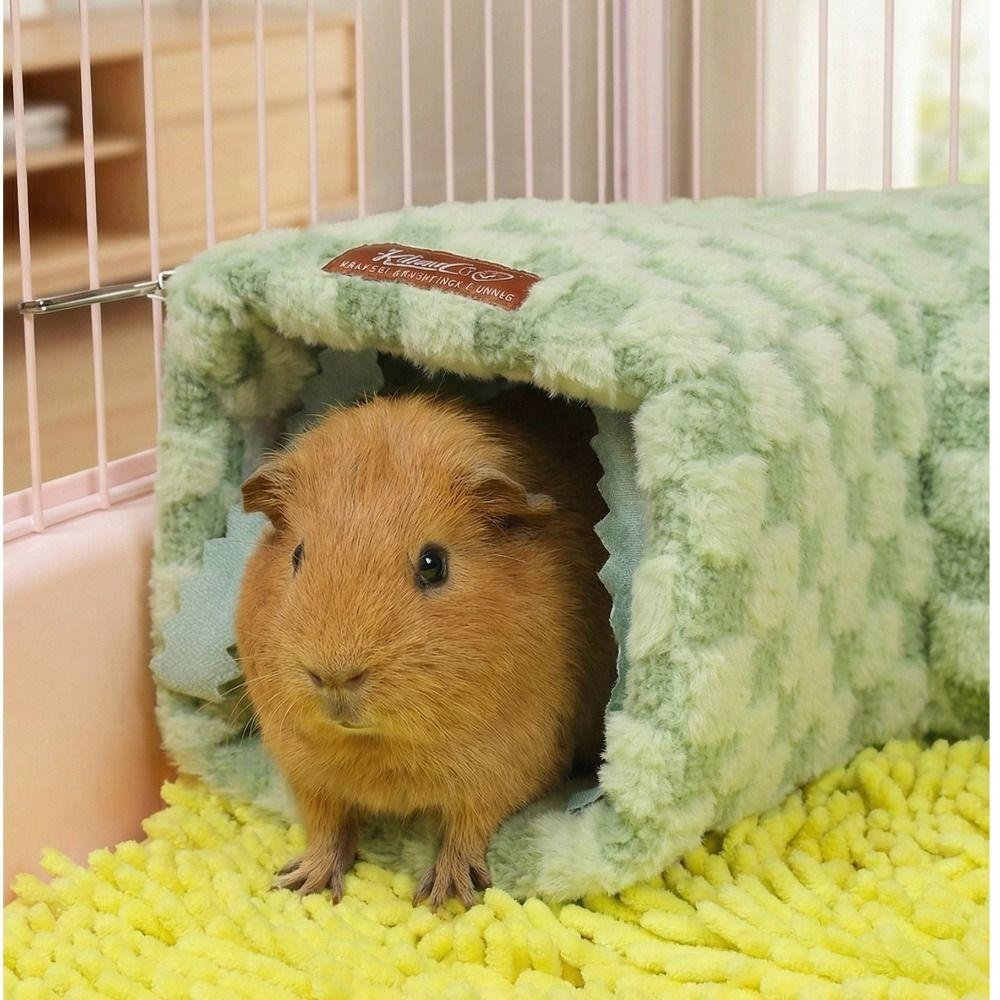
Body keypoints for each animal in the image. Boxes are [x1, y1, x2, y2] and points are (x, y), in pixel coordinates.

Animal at [235, 386, 616, 908]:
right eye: (297, 555)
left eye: (433, 564)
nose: (334, 676)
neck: (379, 750)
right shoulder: (306, 773)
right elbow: (328, 827)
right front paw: (302, 884)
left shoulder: (510, 764)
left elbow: (466, 828)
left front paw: (443, 895)